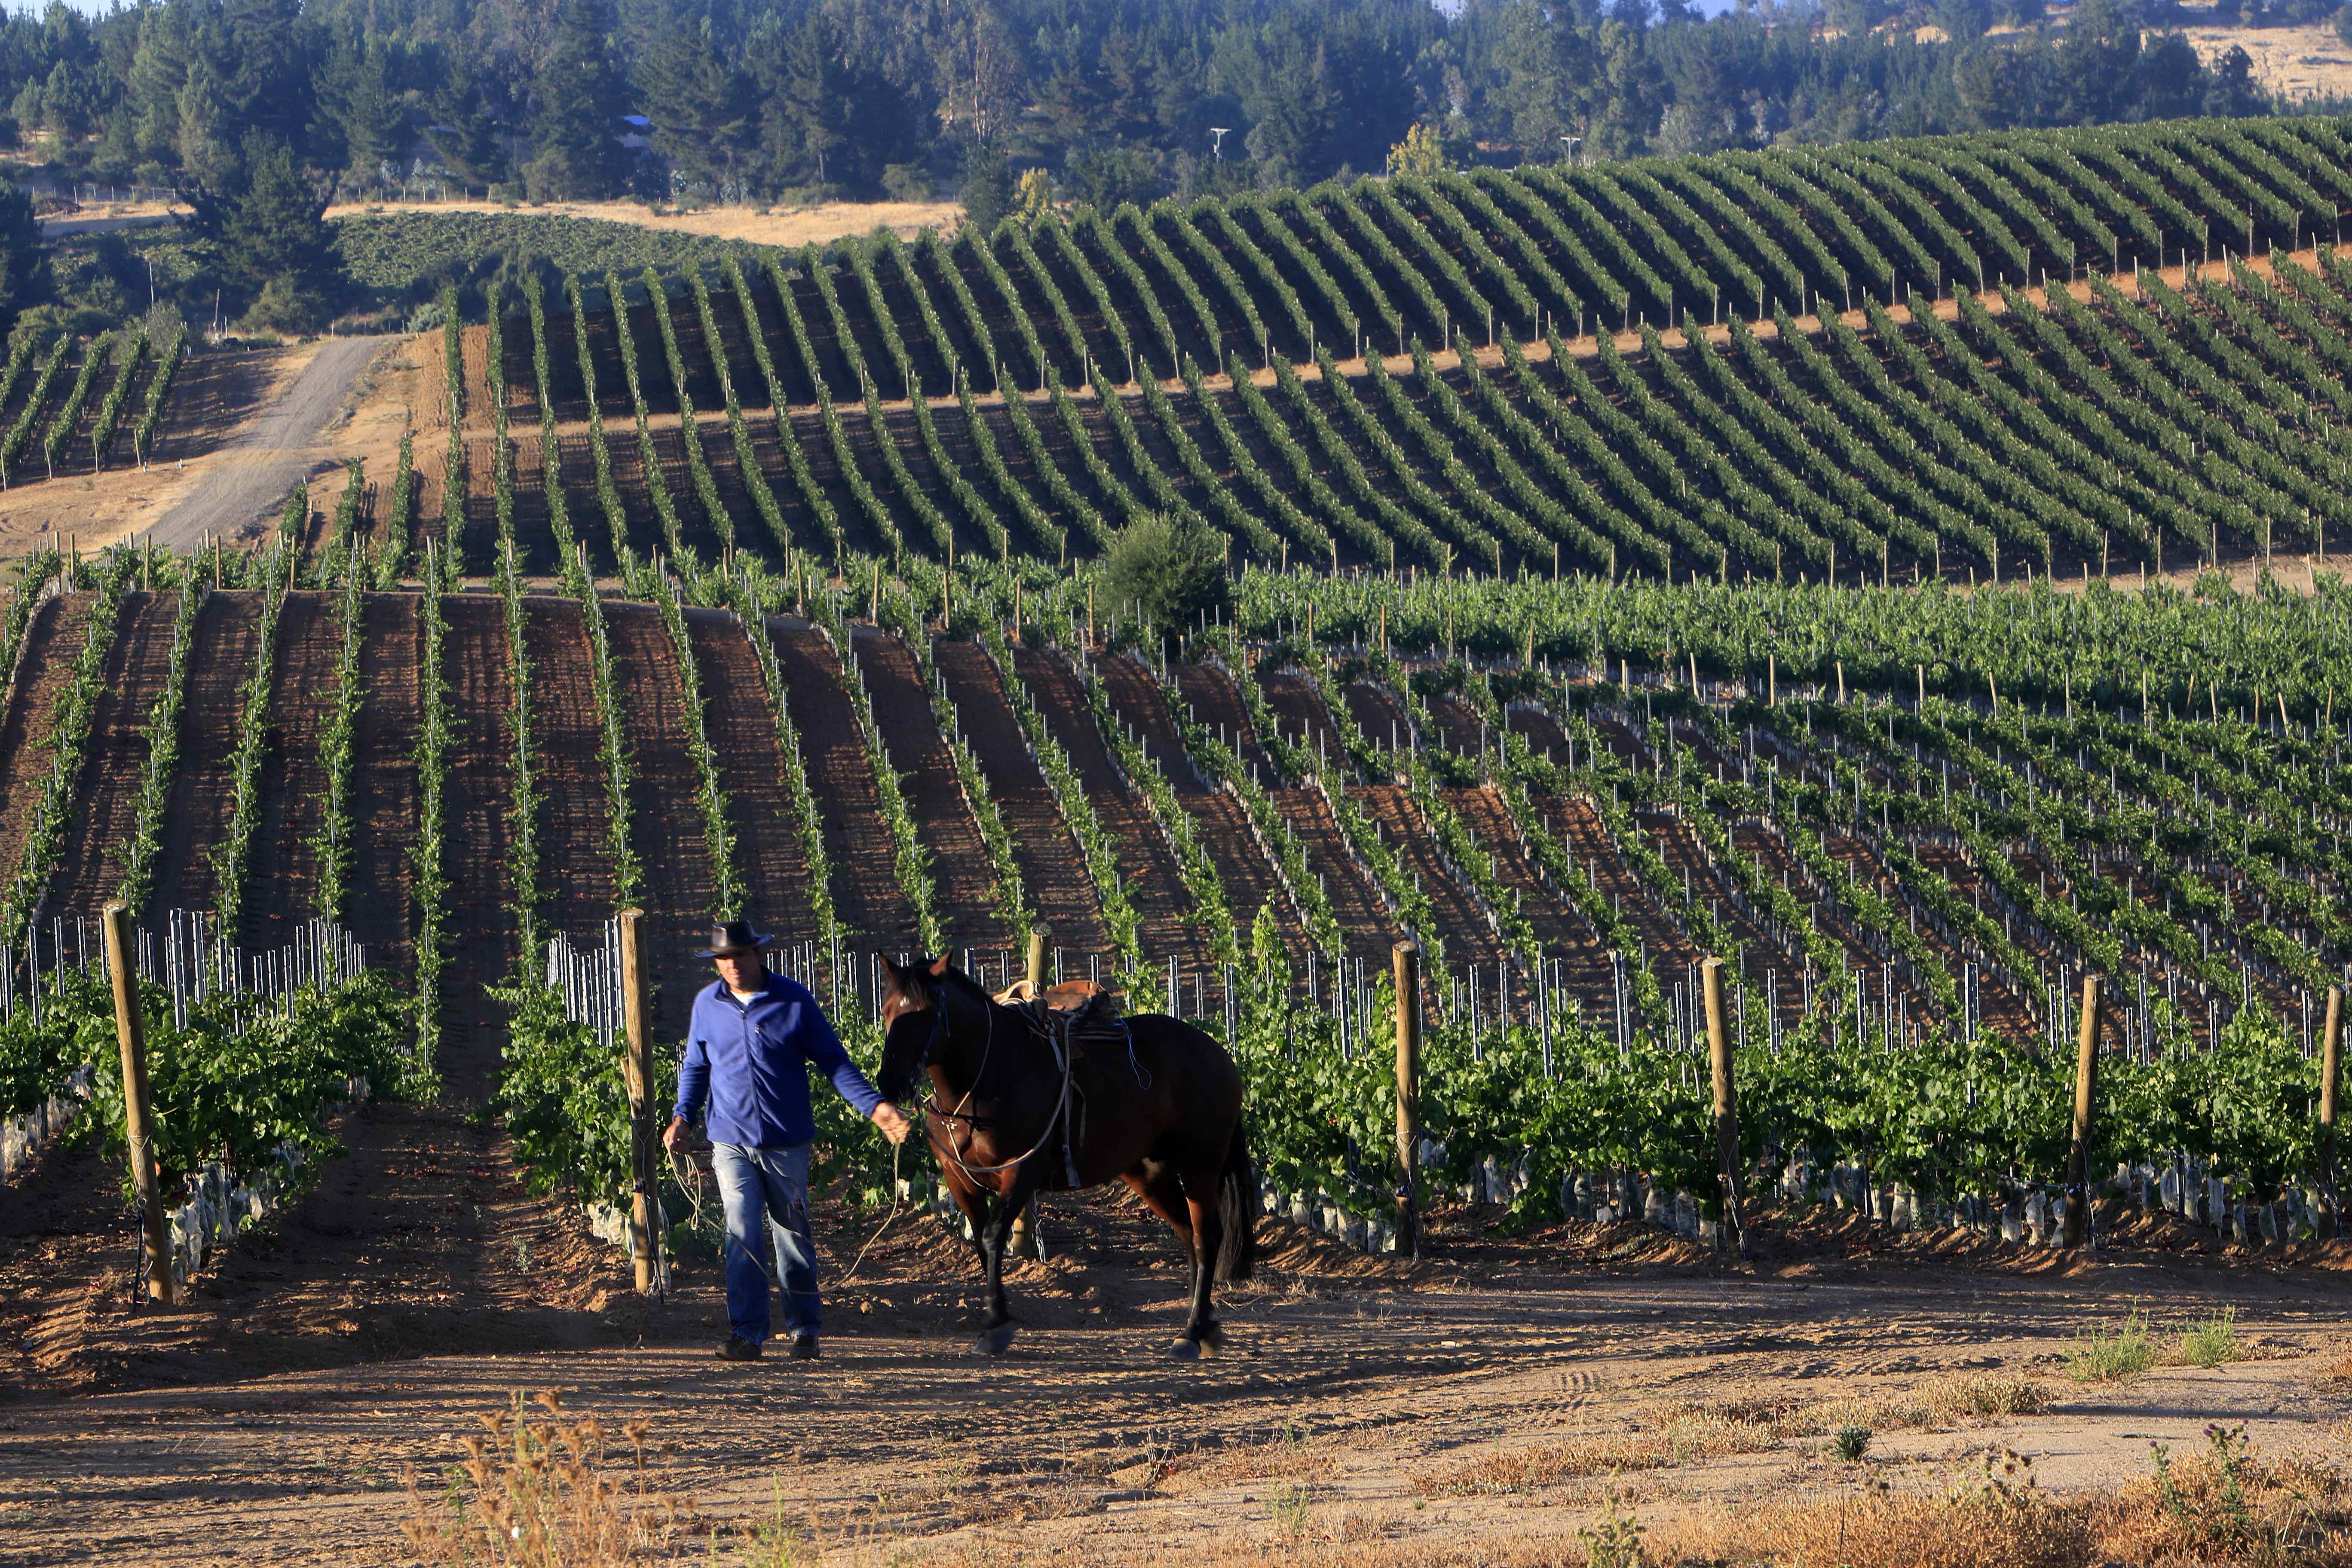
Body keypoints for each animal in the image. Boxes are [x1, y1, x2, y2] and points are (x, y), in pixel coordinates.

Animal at [874, 954, 1257, 1359]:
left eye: (928, 1014)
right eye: (887, 1011)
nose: (891, 1082)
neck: (987, 1077)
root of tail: (1217, 1054)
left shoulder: (1021, 1172)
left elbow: (994, 1237)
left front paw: (996, 1325)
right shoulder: (959, 1179)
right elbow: (980, 1242)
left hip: (1202, 1164)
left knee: (1206, 1238)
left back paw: (1193, 1331)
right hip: (1149, 1173)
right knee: (1188, 1234)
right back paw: (1204, 1325)